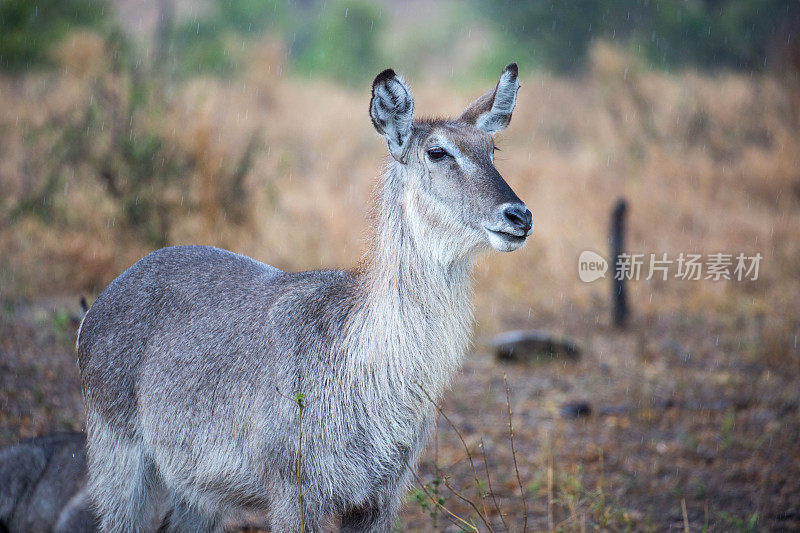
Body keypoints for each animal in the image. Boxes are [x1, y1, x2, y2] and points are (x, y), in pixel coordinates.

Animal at [78, 64, 536, 528]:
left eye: (492, 148)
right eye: (438, 152)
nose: (519, 216)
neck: (363, 367)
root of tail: (102, 300)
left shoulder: (379, 501)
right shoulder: (292, 493)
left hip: (196, 493)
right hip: (120, 462)